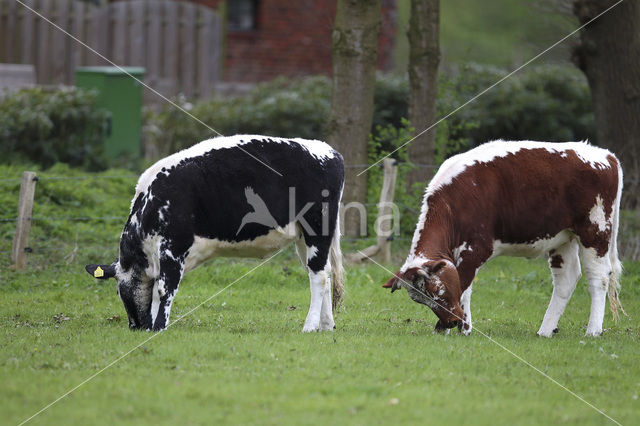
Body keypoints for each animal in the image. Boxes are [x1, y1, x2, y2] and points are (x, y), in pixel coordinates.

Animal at [87, 136, 344, 332]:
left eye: (120, 290)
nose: (136, 327)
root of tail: (329, 150)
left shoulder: (173, 247)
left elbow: (164, 289)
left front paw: (158, 327)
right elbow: (158, 291)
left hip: (316, 227)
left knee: (319, 276)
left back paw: (310, 326)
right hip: (303, 237)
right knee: (323, 272)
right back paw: (326, 325)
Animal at [382, 141, 624, 338]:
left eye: (437, 291)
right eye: (419, 299)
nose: (450, 321)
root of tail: (606, 155)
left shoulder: (476, 249)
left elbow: (464, 284)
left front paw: (459, 328)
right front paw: (454, 327)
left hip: (596, 230)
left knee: (599, 277)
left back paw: (593, 330)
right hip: (562, 237)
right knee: (567, 279)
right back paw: (545, 331)